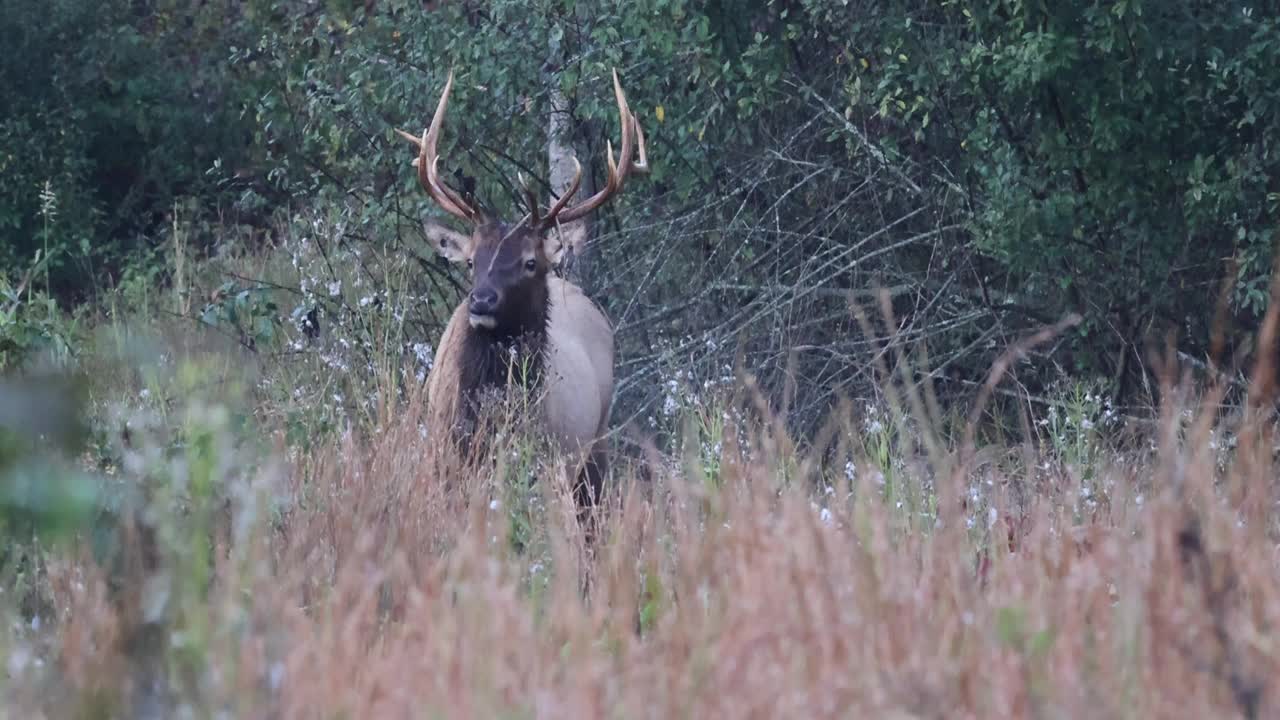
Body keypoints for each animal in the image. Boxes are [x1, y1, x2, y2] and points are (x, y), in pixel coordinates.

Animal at [391, 67, 645, 512]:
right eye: (471, 261)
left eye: (530, 262)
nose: (481, 300)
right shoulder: (444, 458)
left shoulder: (546, 463)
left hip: (594, 444)